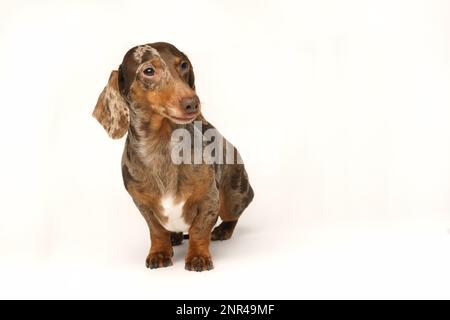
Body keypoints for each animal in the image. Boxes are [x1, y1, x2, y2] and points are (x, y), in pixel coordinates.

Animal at [92, 42, 253, 272]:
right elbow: (157, 231)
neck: (163, 145)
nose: (192, 103)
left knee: (232, 216)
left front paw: (198, 256)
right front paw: (159, 252)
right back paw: (174, 237)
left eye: (183, 65)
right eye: (149, 70)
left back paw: (223, 230)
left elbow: (199, 230)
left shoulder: (209, 199)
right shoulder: (143, 205)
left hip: (233, 198)